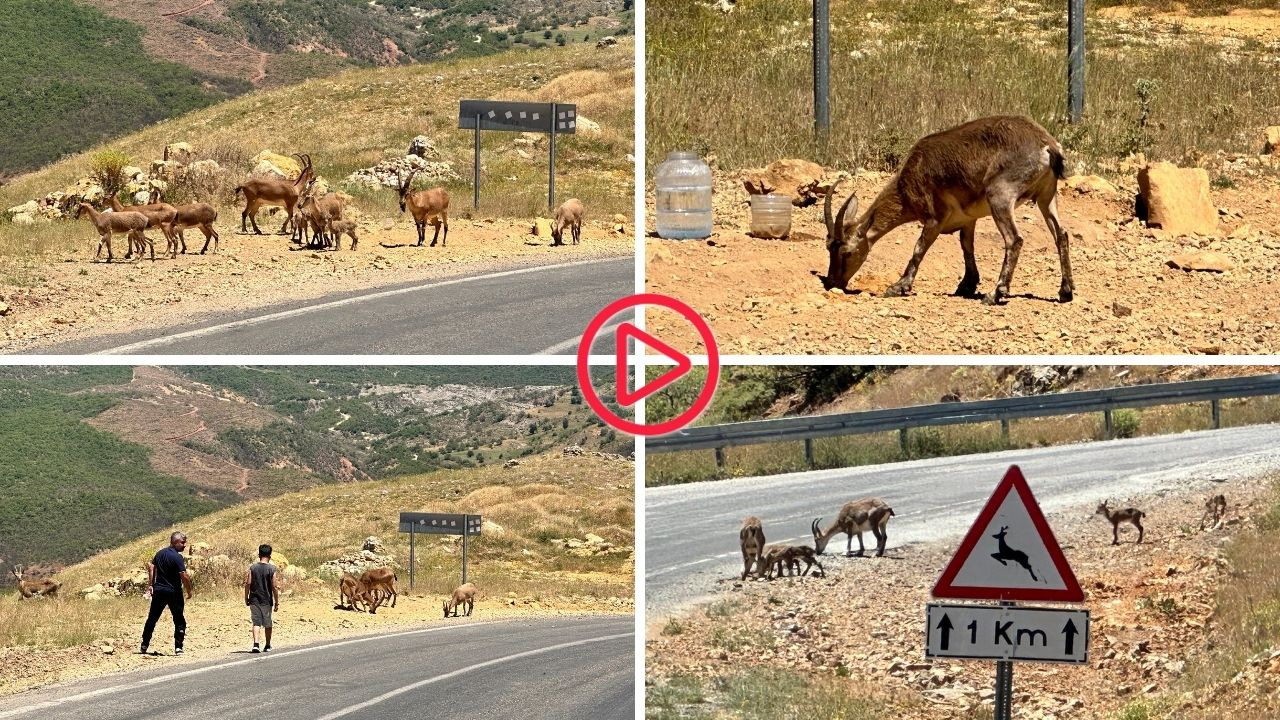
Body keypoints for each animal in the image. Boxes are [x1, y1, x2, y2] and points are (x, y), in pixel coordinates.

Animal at [819, 114, 1070, 302]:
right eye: (828, 248)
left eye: (847, 252)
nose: (832, 282)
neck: (909, 180)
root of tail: (1047, 145)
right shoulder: (968, 219)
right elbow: (966, 246)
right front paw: (966, 285)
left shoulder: (934, 217)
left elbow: (919, 248)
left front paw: (898, 287)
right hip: (1047, 195)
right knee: (1061, 234)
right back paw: (1065, 291)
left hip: (1000, 195)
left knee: (1014, 239)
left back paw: (996, 294)